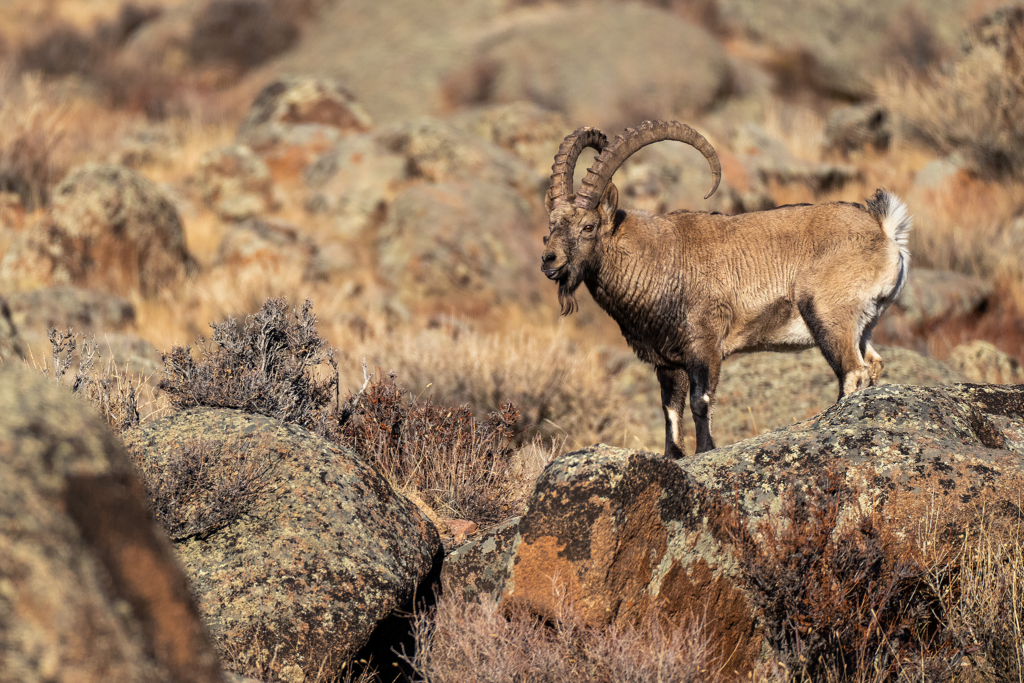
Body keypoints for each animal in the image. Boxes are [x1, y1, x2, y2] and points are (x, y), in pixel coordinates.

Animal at [544, 120, 913, 456]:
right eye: (551, 226)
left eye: (588, 226)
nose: (549, 260)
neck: (658, 257)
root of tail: (884, 229)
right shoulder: (667, 362)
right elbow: (670, 411)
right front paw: (673, 457)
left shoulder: (704, 346)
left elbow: (701, 401)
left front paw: (706, 451)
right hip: (862, 323)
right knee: (873, 363)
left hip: (828, 316)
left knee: (853, 371)